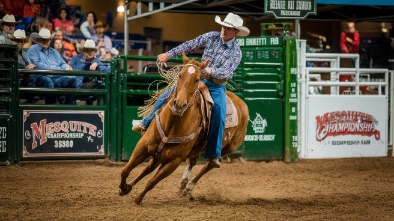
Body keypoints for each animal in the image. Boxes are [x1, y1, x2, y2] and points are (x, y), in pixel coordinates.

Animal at [118, 51, 248, 204]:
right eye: (180, 75)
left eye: (197, 79)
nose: (179, 104)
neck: (172, 124)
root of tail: (242, 104)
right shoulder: (143, 146)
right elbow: (125, 170)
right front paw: (123, 187)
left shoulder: (174, 161)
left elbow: (151, 182)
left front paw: (138, 199)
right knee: (185, 163)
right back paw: (182, 185)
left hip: (227, 148)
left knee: (210, 164)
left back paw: (189, 186)